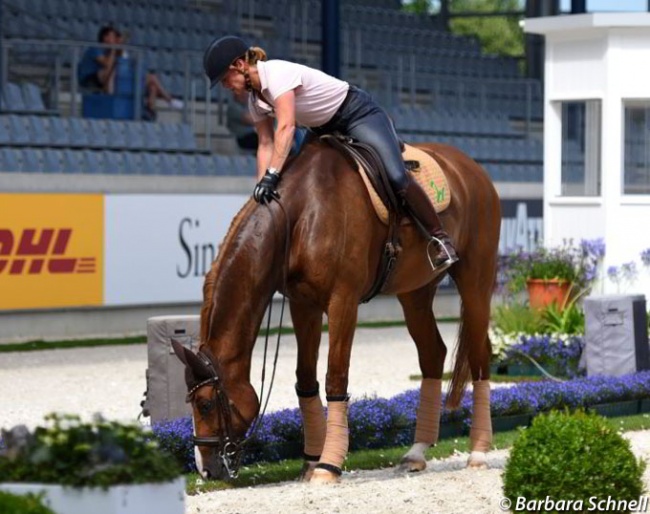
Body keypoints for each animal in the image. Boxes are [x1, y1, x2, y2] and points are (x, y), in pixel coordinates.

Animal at [170, 138, 498, 482]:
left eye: (205, 405)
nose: (205, 470)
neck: (302, 214)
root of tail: (470, 167)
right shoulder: (303, 305)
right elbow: (305, 379)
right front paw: (311, 460)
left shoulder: (343, 301)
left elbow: (335, 378)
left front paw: (328, 465)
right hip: (415, 292)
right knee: (433, 354)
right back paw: (417, 452)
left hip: (475, 279)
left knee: (479, 355)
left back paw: (478, 451)